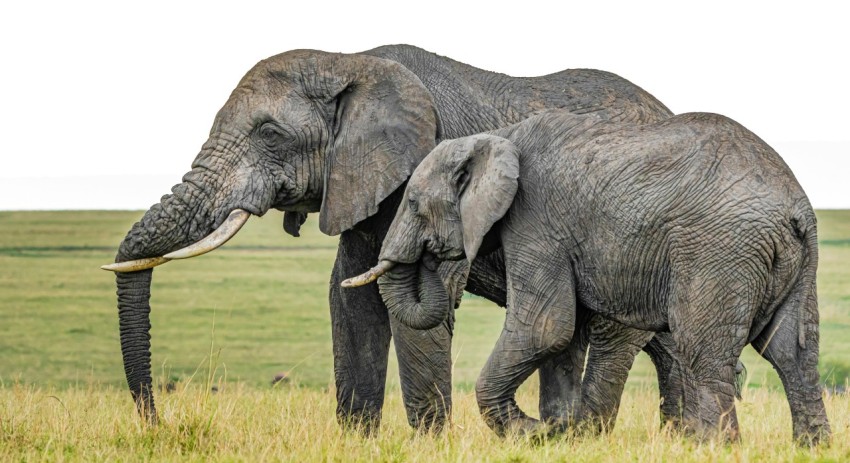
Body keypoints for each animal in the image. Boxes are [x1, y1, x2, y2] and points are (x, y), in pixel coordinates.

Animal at [102, 43, 692, 432]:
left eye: (269, 133)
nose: (158, 422)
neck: (348, 61)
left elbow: (415, 304)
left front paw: (429, 443)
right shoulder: (358, 187)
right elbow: (350, 301)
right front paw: (357, 440)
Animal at [344, 109, 828, 446]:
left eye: (411, 203)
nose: (432, 257)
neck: (498, 137)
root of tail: (796, 207)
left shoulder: (536, 219)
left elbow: (545, 327)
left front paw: (535, 433)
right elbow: (565, 335)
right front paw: (560, 434)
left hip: (718, 250)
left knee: (704, 350)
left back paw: (712, 449)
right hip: (796, 260)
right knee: (792, 352)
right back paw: (811, 448)